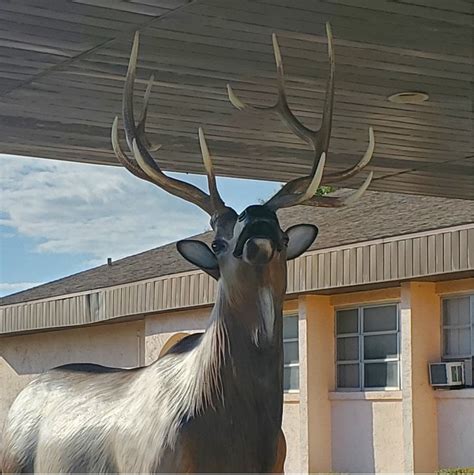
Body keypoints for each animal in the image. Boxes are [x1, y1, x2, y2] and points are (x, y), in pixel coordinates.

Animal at [2, 24, 374, 474]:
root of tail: (22, 398)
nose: (257, 218)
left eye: (285, 237)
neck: (237, 435)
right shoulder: (154, 464)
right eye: (217, 241)